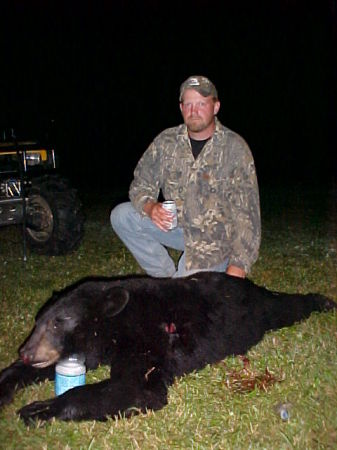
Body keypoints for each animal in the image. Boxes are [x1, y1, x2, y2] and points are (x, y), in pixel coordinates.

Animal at [0, 272, 332, 424]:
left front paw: (39, 408)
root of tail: (246, 283)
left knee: (286, 305)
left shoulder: (147, 341)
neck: (119, 323)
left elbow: (136, 386)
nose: (25, 351)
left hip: (263, 311)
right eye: (38, 321)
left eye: (58, 324)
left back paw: (323, 300)